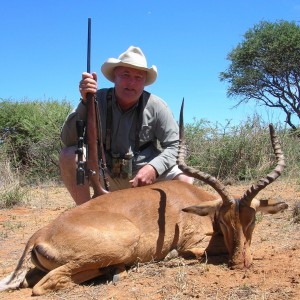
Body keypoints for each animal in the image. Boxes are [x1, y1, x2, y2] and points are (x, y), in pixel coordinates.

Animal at [0, 108, 288, 296]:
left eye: (252, 221)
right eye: (225, 222)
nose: (240, 262)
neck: (196, 201)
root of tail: (39, 234)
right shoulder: (192, 243)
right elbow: (199, 251)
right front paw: (173, 255)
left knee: (28, 280)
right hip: (121, 244)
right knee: (44, 285)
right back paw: (115, 271)